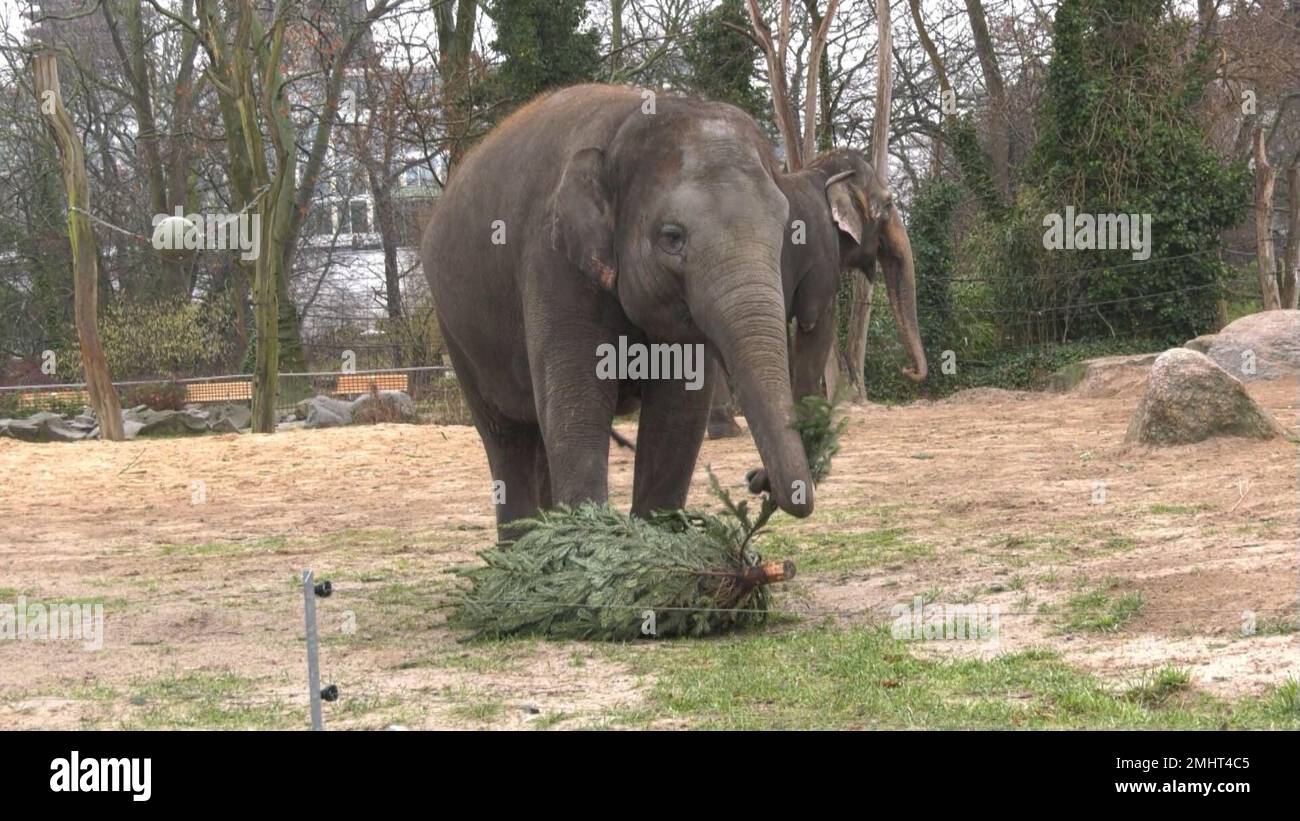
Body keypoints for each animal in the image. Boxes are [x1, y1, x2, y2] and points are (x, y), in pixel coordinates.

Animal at [422, 84, 815, 540]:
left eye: (784, 227)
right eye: (672, 237)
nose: (755, 479)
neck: (633, 117)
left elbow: (678, 413)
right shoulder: (551, 261)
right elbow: (578, 407)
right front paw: (589, 545)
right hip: (456, 331)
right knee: (507, 438)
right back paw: (521, 548)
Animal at [707, 147, 928, 445]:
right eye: (889, 203)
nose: (906, 370)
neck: (820, 172)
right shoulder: (821, 252)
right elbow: (816, 322)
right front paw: (811, 427)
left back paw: (725, 429)